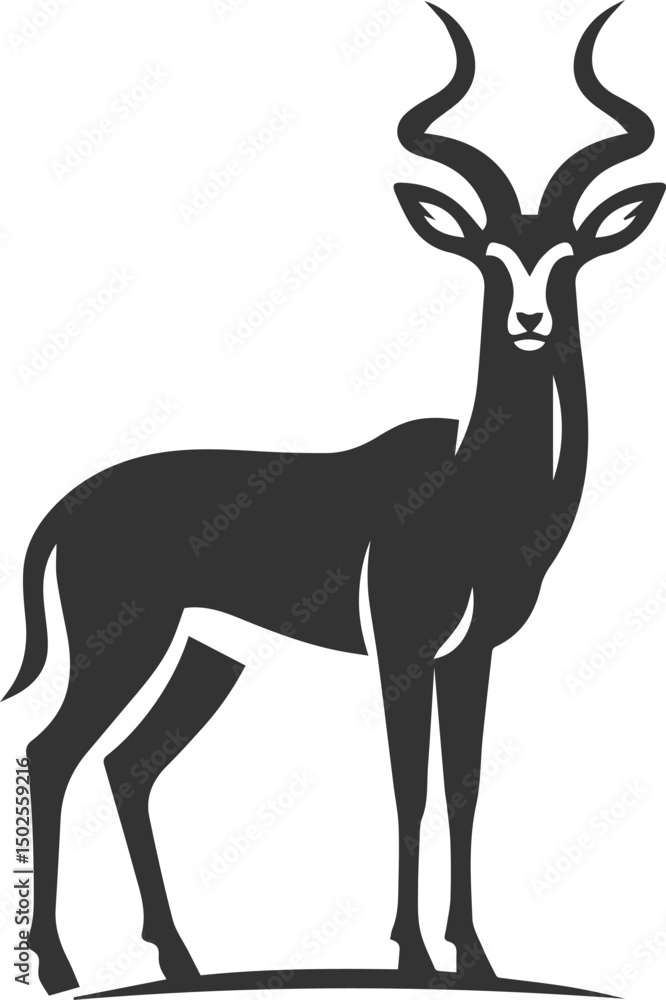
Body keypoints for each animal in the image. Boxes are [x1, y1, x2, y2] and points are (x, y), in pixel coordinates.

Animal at [4, 2, 663, 994]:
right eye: (489, 257)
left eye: (570, 255)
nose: (531, 323)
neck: (477, 495)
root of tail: (68, 504)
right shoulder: (403, 648)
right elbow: (409, 787)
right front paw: (416, 956)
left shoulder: (472, 655)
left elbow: (465, 790)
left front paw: (475, 957)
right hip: (125, 644)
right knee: (53, 753)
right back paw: (57, 965)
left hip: (206, 659)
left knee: (128, 765)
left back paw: (181, 959)